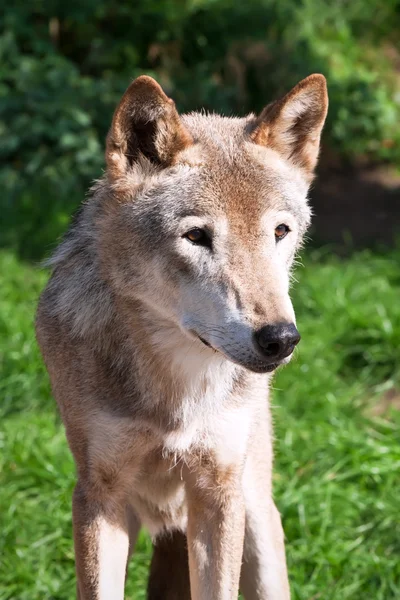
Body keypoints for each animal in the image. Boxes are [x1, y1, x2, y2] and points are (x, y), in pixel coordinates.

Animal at [35, 72, 328, 596]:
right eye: (196, 237)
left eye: (280, 232)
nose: (280, 338)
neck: (177, 386)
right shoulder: (97, 496)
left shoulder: (217, 492)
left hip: (256, 520)